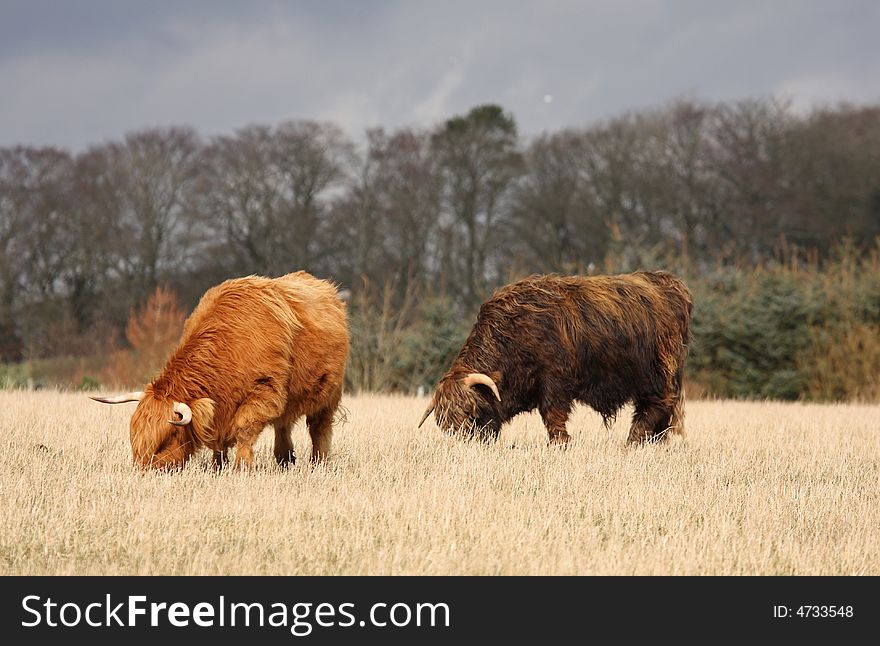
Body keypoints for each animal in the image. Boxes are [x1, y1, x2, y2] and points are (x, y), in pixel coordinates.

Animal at [420, 272, 696, 446]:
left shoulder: (555, 380)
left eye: (471, 411)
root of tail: (669, 283)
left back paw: (633, 441)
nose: (466, 444)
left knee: (656, 404)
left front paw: (560, 443)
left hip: (658, 373)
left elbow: (553, 414)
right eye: (445, 424)